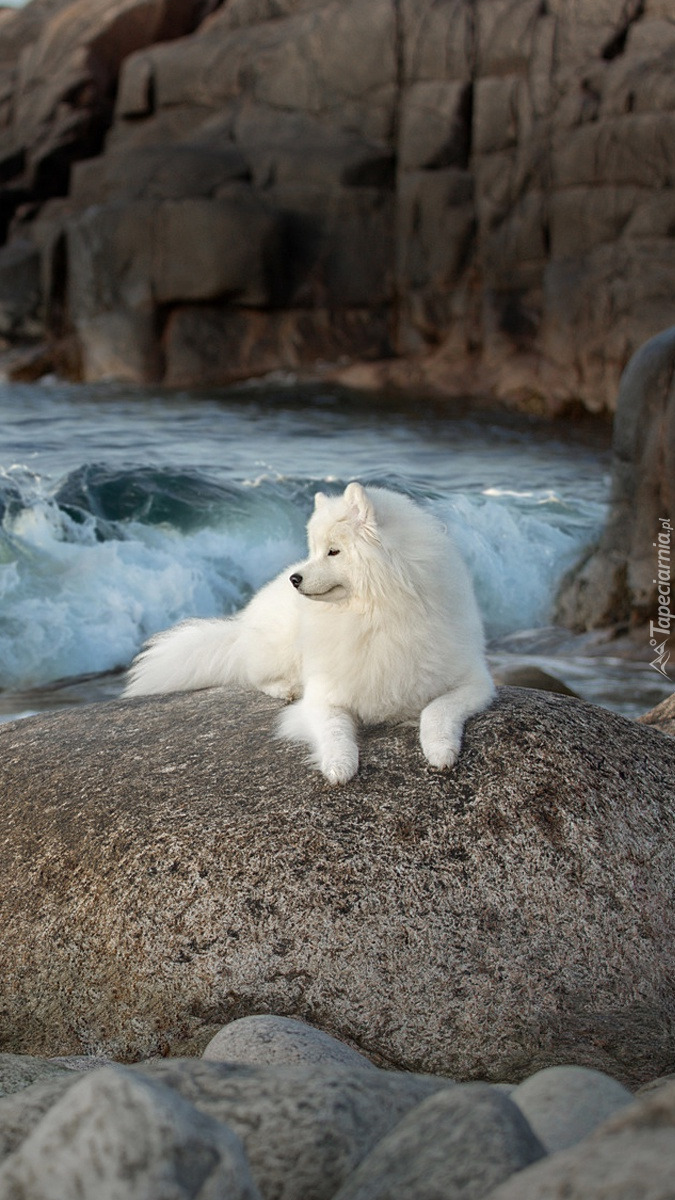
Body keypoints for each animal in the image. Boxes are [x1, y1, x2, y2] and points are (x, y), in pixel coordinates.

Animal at [123, 482, 492, 782]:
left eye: (333, 551)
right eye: (313, 550)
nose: (295, 579)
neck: (374, 618)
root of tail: (241, 625)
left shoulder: (474, 682)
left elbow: (436, 710)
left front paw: (440, 750)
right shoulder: (325, 695)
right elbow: (334, 731)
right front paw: (339, 765)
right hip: (278, 648)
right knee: (253, 674)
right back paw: (285, 688)